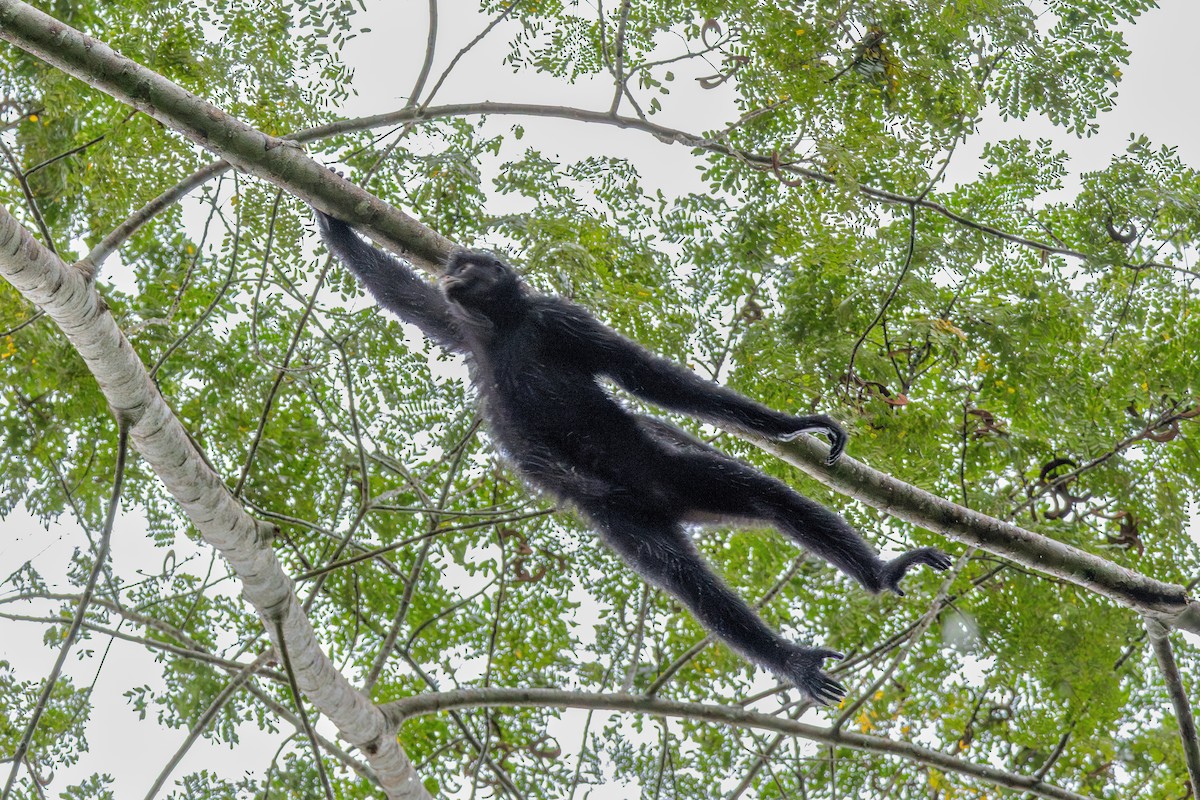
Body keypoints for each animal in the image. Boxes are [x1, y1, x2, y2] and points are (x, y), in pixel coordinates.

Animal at [315, 211, 951, 704]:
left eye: (468, 265)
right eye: (452, 268)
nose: (451, 273)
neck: (505, 330)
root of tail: (668, 502)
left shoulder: (560, 319)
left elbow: (650, 379)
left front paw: (794, 427)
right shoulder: (461, 326)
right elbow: (401, 295)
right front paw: (333, 221)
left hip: (681, 473)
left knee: (766, 498)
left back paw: (877, 576)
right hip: (624, 520)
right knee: (685, 579)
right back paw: (798, 656)